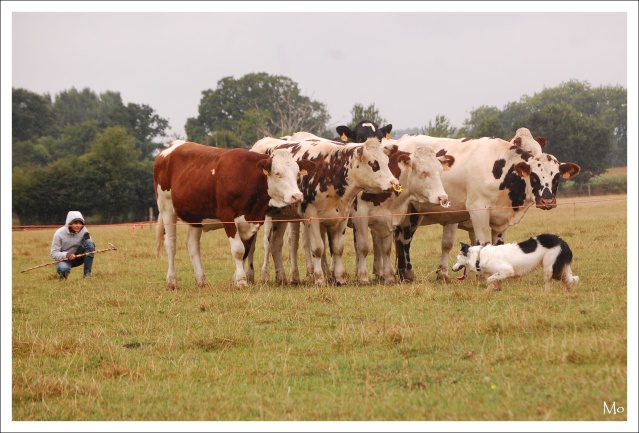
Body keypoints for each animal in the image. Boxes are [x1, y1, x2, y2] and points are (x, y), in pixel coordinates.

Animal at [155, 142, 316, 288]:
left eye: (297, 173)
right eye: (277, 173)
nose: (297, 196)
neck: (247, 177)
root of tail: (171, 147)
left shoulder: (252, 221)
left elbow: (245, 250)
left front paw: (237, 278)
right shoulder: (227, 217)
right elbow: (238, 250)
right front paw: (241, 281)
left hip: (195, 216)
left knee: (193, 245)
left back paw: (201, 281)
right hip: (166, 208)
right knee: (171, 244)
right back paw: (171, 281)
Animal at [251, 137, 398, 286]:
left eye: (387, 161)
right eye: (373, 163)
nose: (395, 183)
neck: (331, 171)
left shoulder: (342, 216)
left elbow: (337, 248)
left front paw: (340, 278)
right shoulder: (312, 216)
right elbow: (318, 248)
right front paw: (319, 279)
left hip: (280, 216)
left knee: (276, 243)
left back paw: (281, 278)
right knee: (266, 244)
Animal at [350, 142, 456, 284]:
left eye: (440, 172)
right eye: (423, 172)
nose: (443, 198)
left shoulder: (387, 218)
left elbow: (386, 248)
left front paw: (389, 277)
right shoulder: (360, 215)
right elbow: (363, 247)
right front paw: (362, 277)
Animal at [392, 137, 584, 282]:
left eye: (557, 177)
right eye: (534, 177)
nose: (547, 200)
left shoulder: (500, 221)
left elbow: (498, 245)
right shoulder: (478, 211)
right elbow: (482, 243)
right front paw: (481, 275)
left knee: (401, 239)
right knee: (404, 241)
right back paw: (405, 273)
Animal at [450, 233, 580, 290]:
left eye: (457, 259)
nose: (452, 269)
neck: (479, 256)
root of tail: (562, 241)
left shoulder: (507, 270)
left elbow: (490, 279)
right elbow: (494, 282)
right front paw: (494, 290)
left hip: (550, 268)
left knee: (553, 281)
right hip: (560, 268)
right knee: (572, 279)